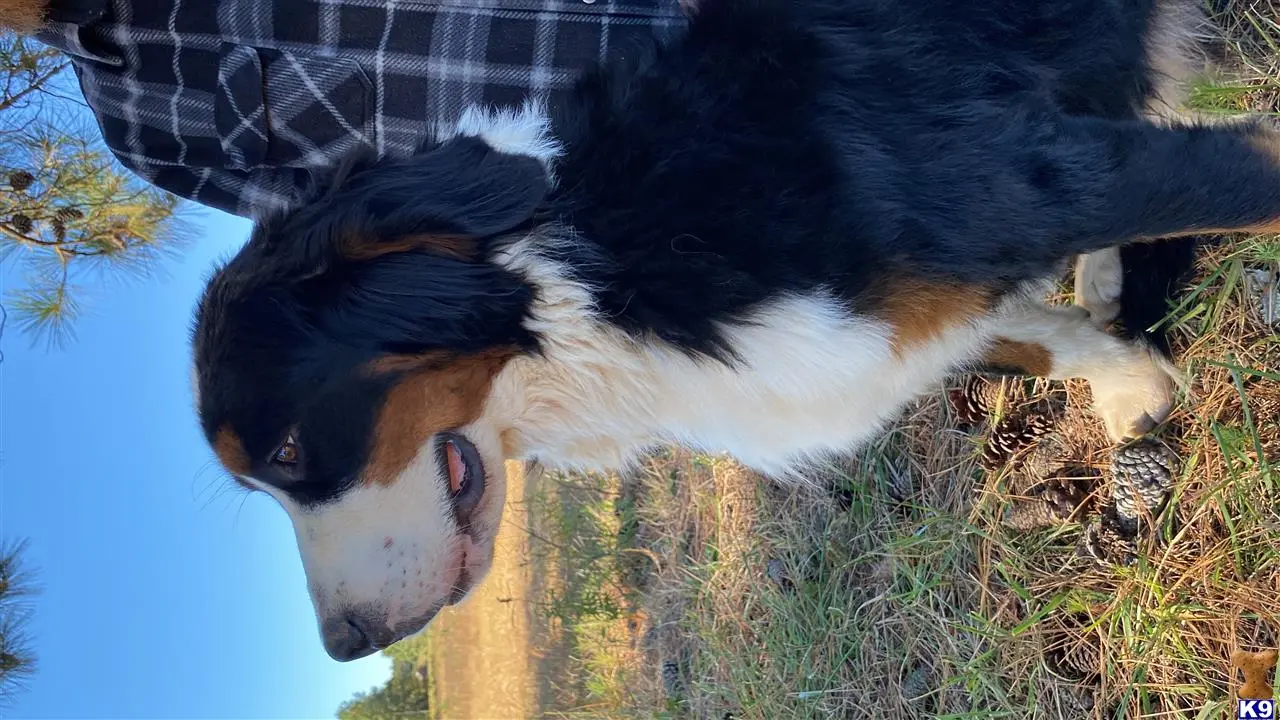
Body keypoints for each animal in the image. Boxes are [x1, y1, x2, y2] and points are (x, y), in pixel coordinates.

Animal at [189, 0, 1280, 661]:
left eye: (288, 452)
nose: (347, 642)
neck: (596, 266)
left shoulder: (1038, 182)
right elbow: (1018, 333)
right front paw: (1126, 384)